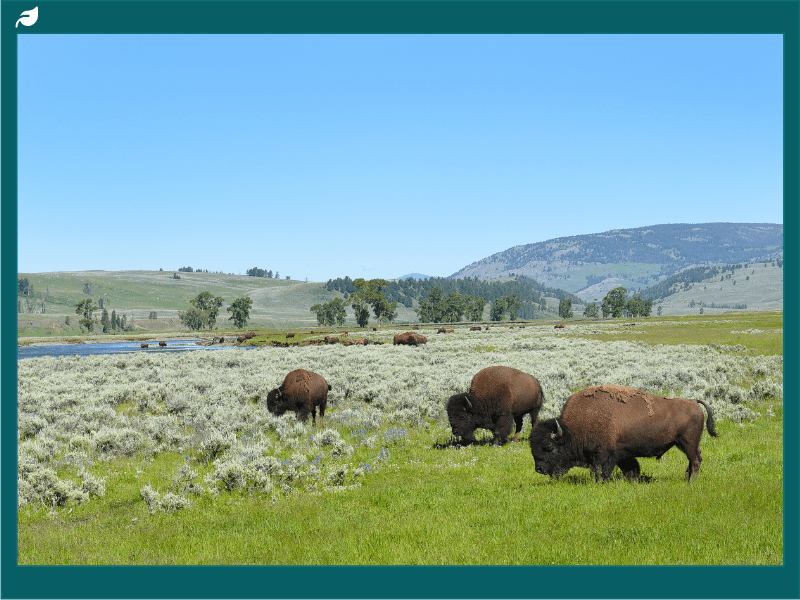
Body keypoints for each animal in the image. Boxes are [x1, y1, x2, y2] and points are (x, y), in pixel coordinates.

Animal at [529, 385, 717, 482]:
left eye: (548, 446)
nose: (539, 469)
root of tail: (693, 402)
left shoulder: (603, 455)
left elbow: (600, 471)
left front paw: (601, 482)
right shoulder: (622, 454)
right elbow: (631, 468)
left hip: (687, 442)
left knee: (695, 460)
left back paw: (691, 482)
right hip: (685, 444)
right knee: (695, 458)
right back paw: (687, 478)